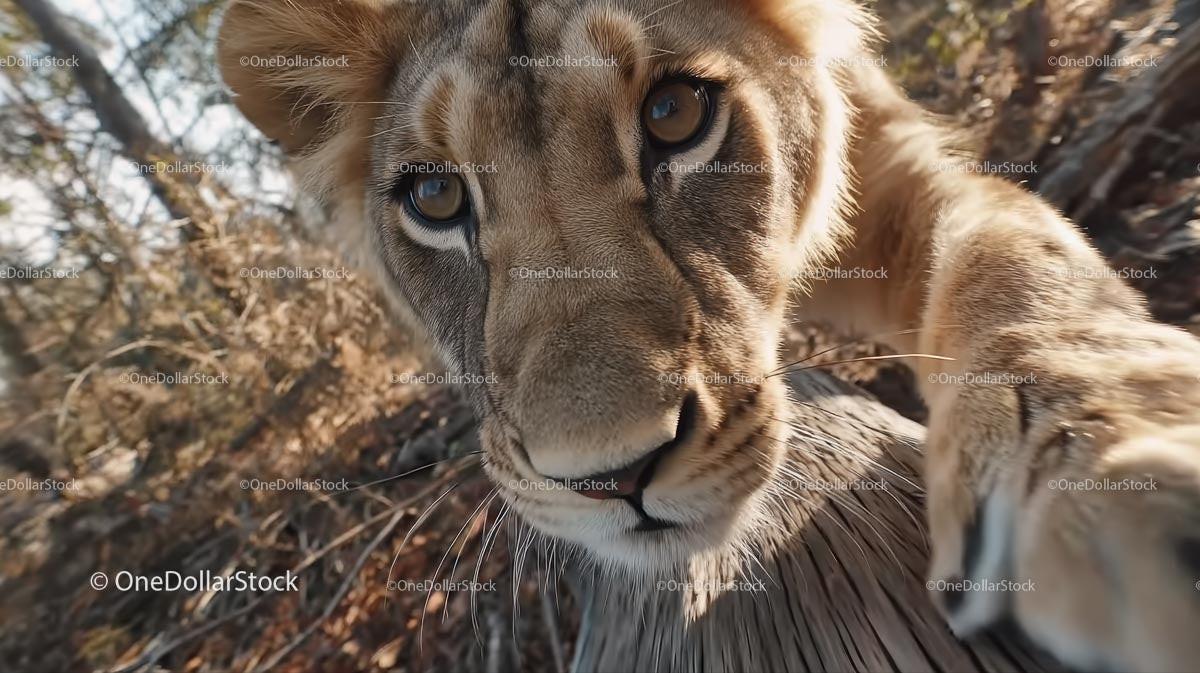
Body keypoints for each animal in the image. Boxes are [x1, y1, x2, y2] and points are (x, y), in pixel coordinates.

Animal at [217, 1, 1200, 670]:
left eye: (675, 115)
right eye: (434, 196)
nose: (613, 477)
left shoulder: (891, 169)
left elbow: (1017, 252)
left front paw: (1112, 474)